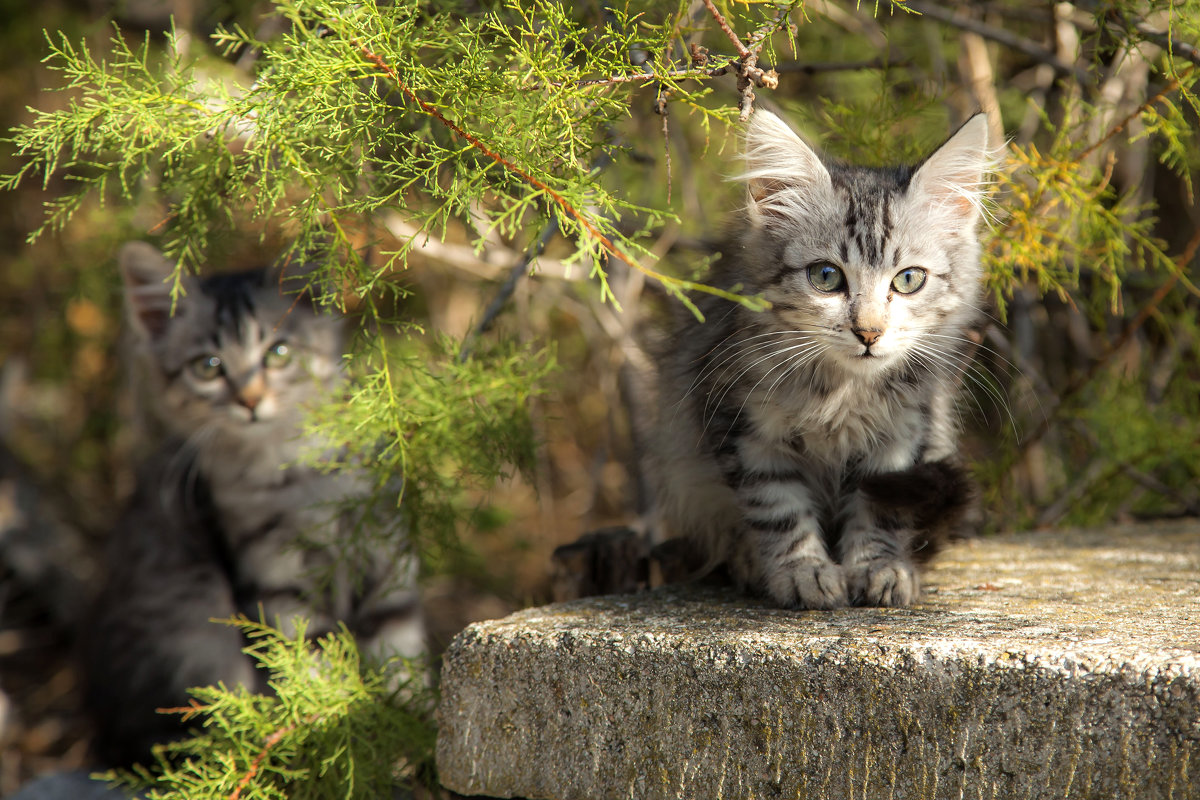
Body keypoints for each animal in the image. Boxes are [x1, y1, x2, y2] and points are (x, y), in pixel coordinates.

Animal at [84, 245, 424, 767]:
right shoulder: (275, 579)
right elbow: (312, 669)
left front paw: (411, 732)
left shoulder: (387, 558)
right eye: (208, 366)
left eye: (279, 354)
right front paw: (337, 735)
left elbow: (401, 662)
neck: (298, 475)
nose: (250, 400)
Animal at [652, 112, 988, 609]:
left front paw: (878, 568)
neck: (843, 392)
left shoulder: (902, 437)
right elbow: (780, 508)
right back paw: (747, 561)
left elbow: (880, 511)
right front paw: (803, 572)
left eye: (909, 279)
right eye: (826, 276)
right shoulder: (745, 428)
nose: (869, 332)